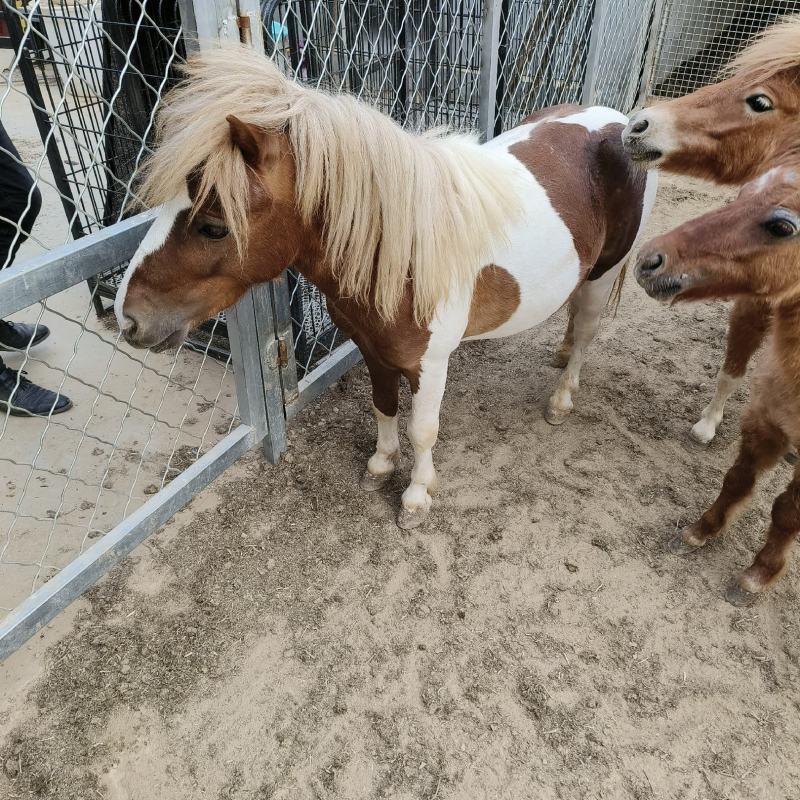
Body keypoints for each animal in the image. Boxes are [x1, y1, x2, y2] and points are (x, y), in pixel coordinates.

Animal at [114, 45, 657, 529]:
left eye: (213, 226)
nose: (127, 317)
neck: (402, 253)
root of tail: (617, 122)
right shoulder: (372, 348)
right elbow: (383, 406)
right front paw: (380, 465)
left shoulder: (430, 364)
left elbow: (423, 429)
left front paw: (417, 496)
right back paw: (560, 355)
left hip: (605, 272)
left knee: (587, 331)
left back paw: (562, 397)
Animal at [635, 162, 800, 605]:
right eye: (741, 193)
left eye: (782, 226)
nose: (649, 259)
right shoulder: (763, 421)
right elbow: (737, 479)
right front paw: (701, 530)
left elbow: (787, 511)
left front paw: (758, 574)